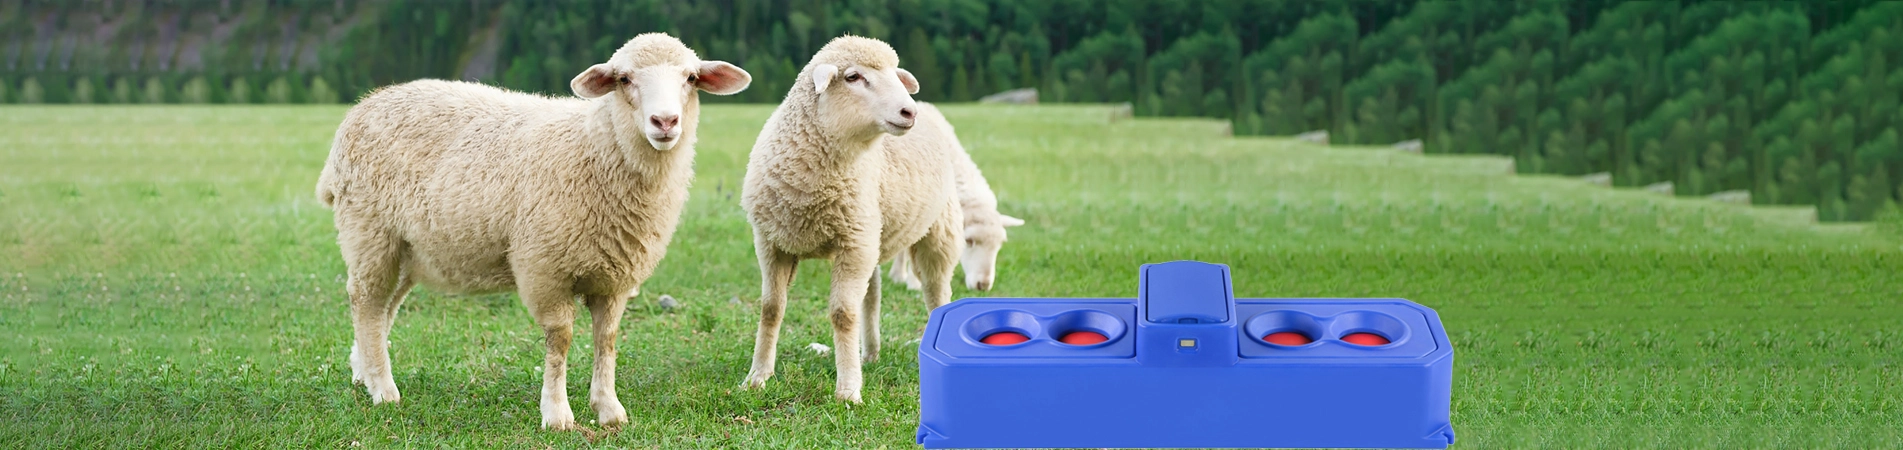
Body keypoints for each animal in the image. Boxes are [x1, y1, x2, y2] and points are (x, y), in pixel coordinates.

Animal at [313, 33, 750, 430]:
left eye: (691, 78)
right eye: (624, 79)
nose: (665, 122)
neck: (596, 149)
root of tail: (363, 106)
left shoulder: (615, 277)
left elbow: (606, 339)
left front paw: (609, 409)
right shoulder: (544, 268)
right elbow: (560, 339)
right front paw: (557, 414)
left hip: (407, 248)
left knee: (383, 309)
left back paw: (364, 372)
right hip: (369, 231)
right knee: (366, 302)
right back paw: (383, 390)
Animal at [738, 35, 963, 403]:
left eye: (895, 75)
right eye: (853, 77)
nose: (908, 112)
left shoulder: (852, 244)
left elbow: (843, 315)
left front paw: (847, 390)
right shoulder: (771, 243)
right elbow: (770, 308)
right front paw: (757, 377)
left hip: (936, 232)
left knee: (936, 291)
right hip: (873, 234)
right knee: (872, 295)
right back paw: (868, 353)